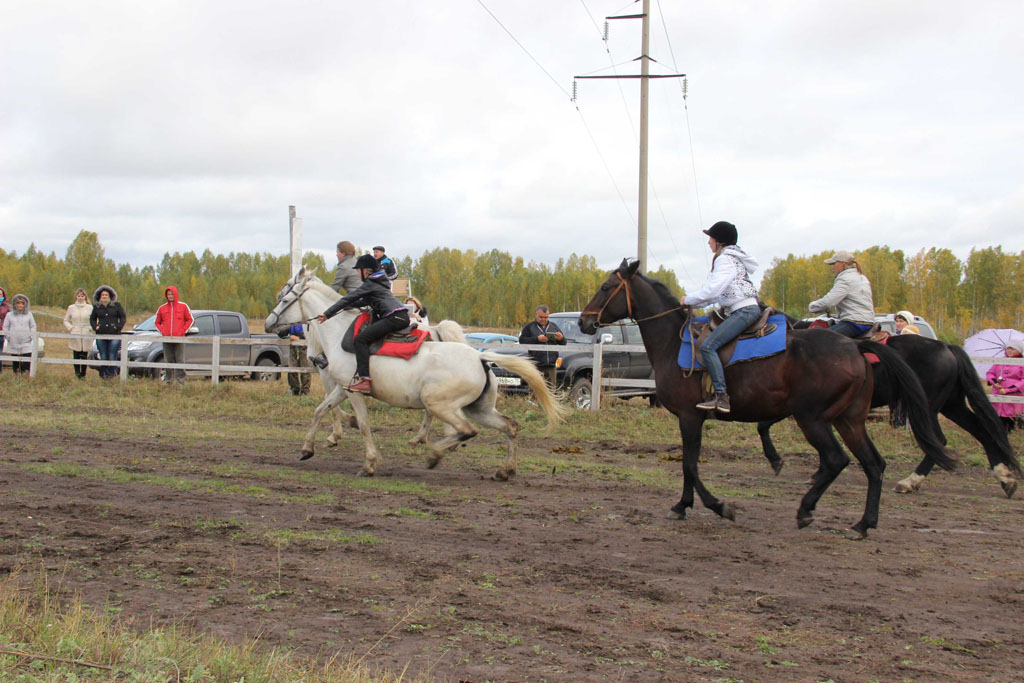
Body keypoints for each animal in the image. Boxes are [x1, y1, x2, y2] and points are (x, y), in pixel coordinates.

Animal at [266, 270, 569, 479]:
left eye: (285, 297)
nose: (270, 323)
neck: (340, 333)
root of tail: (480, 357)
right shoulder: (342, 388)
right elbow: (320, 410)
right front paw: (307, 449)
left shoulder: (354, 392)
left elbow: (363, 425)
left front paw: (370, 463)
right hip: (479, 408)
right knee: (509, 427)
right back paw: (505, 471)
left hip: (439, 404)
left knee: (465, 430)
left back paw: (433, 453)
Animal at [581, 260, 954, 540]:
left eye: (606, 287)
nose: (585, 321)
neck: (674, 342)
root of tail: (856, 346)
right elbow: (690, 464)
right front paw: (685, 505)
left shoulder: (690, 416)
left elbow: (690, 464)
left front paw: (716, 506)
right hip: (849, 420)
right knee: (874, 464)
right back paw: (862, 524)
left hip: (813, 419)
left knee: (836, 461)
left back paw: (806, 510)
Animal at [757, 331, 1019, 497]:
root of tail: (947, 347)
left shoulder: (803, 407)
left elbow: (764, 424)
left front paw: (781, 461)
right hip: (952, 405)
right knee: (982, 432)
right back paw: (1005, 478)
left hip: (928, 407)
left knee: (939, 440)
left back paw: (910, 481)